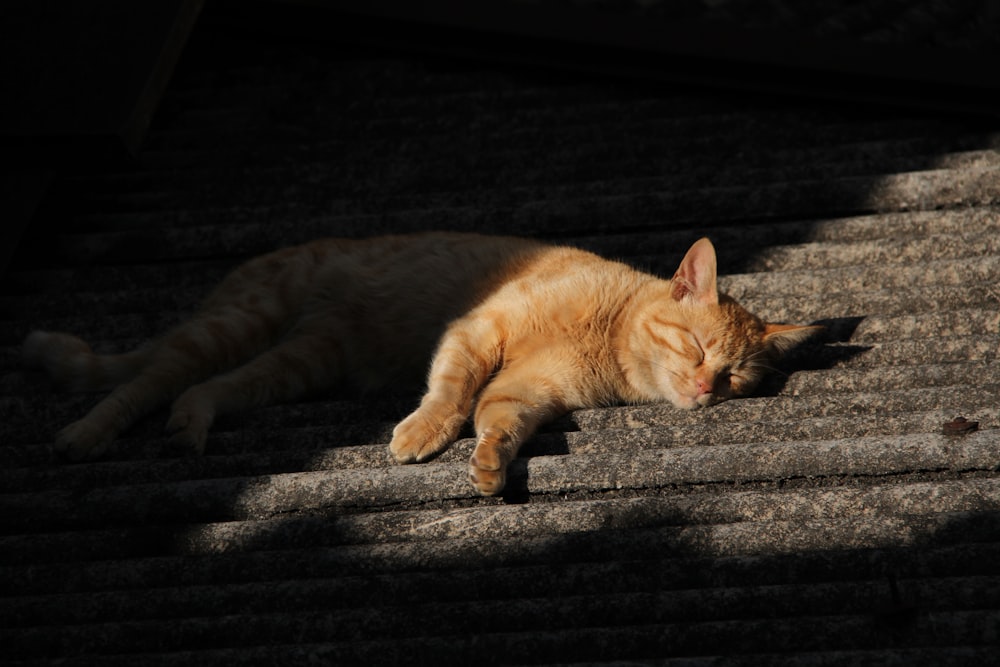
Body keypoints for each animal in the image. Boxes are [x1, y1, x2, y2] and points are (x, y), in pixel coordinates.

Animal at [21, 232, 820, 494]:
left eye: (736, 378)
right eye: (697, 350)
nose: (706, 389)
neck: (607, 334)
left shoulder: (528, 389)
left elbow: (498, 418)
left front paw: (490, 464)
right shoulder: (478, 330)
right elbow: (451, 392)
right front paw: (421, 434)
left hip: (295, 363)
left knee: (205, 389)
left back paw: (190, 426)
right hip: (233, 325)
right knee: (141, 380)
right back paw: (86, 434)